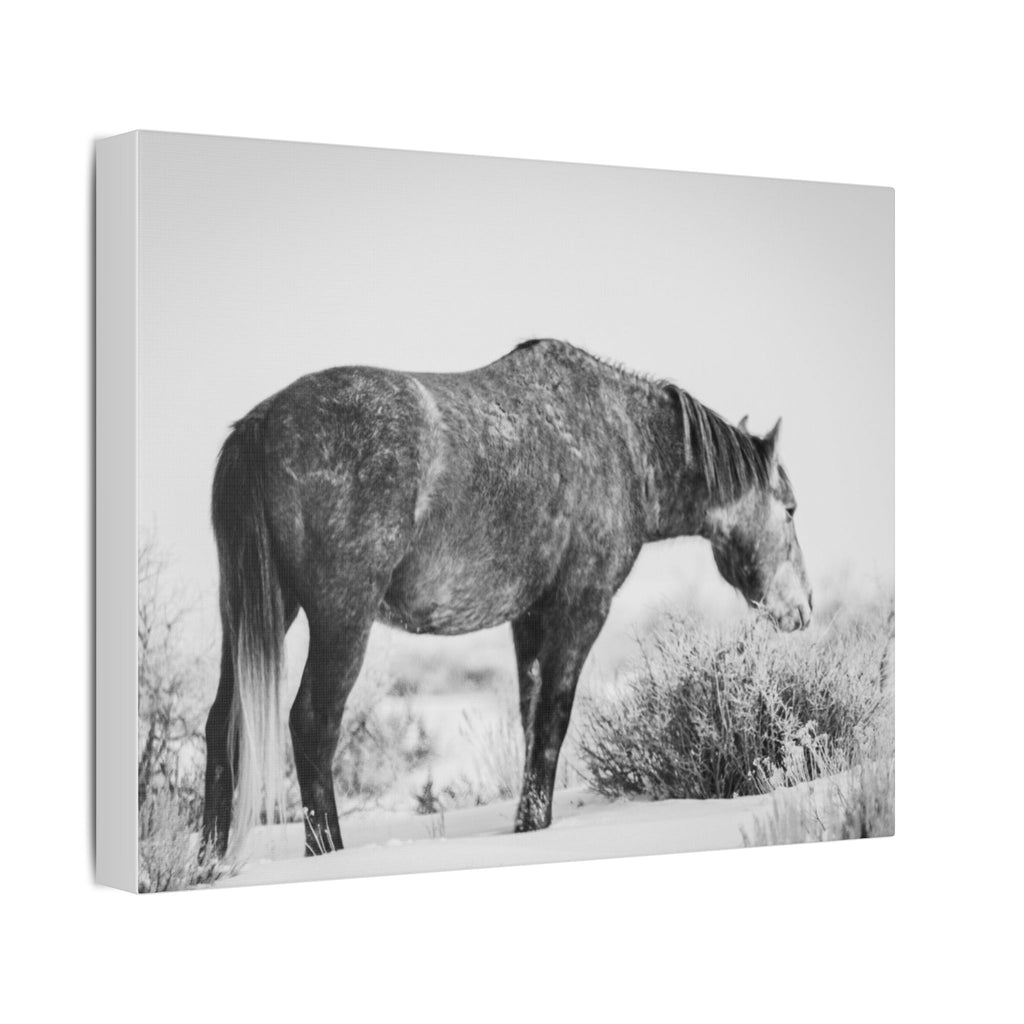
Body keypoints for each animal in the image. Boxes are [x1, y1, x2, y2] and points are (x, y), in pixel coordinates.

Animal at [202, 338, 812, 859]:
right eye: (789, 509)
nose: (802, 608)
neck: (620, 440)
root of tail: (260, 425)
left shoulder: (530, 618)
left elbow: (531, 719)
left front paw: (528, 823)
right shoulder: (581, 608)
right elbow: (553, 721)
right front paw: (534, 822)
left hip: (257, 611)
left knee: (222, 722)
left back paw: (211, 858)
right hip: (341, 617)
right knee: (313, 722)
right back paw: (326, 850)